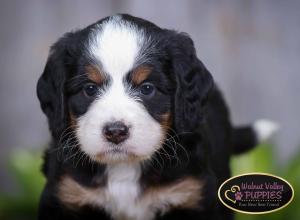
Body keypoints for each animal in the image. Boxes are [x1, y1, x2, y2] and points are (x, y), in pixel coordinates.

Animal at [36, 14, 278, 220]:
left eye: (147, 88)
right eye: (89, 89)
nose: (115, 132)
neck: (124, 169)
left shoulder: (192, 195)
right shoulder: (67, 195)